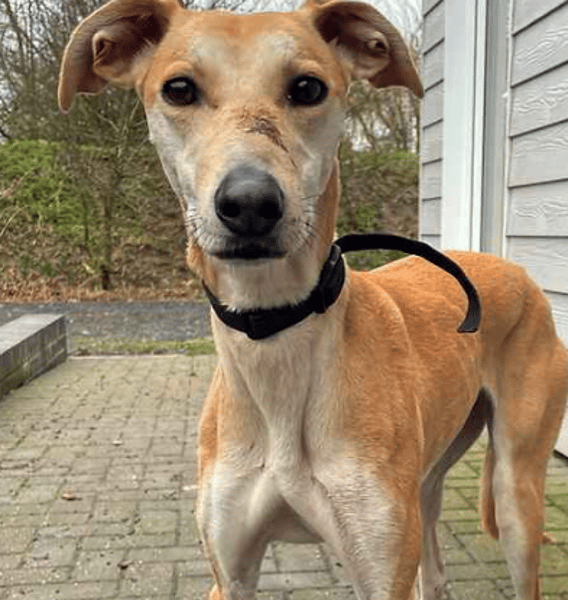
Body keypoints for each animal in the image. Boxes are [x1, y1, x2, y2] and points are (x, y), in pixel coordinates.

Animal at [58, 0, 568, 598]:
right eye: (179, 88)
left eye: (307, 87)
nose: (249, 204)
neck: (277, 336)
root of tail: (514, 267)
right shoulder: (230, 575)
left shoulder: (379, 572)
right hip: (427, 482)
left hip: (514, 491)